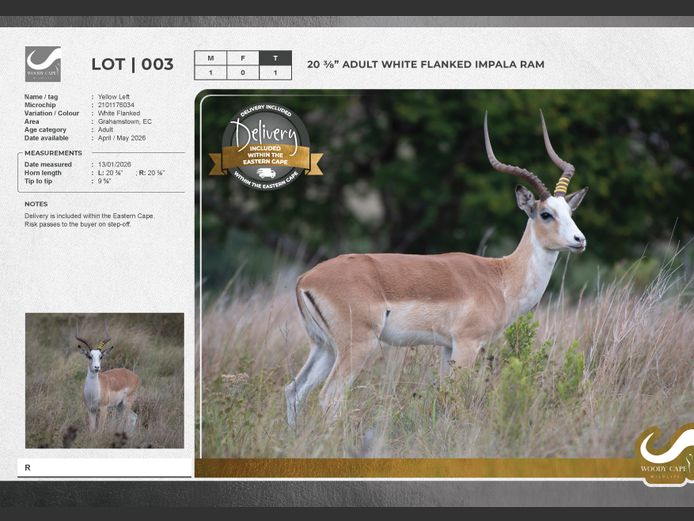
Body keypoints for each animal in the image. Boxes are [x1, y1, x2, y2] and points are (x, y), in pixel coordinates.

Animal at [285, 111, 589, 427]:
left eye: (570, 212)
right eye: (546, 214)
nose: (580, 240)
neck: (500, 278)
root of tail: (305, 279)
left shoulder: (447, 347)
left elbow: (443, 397)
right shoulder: (467, 343)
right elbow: (456, 398)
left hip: (323, 346)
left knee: (294, 390)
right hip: (357, 345)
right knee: (330, 396)